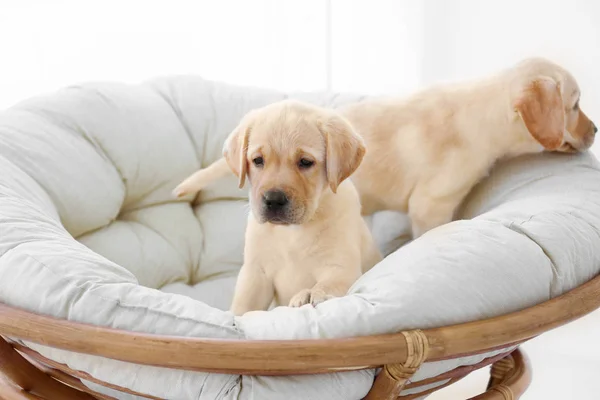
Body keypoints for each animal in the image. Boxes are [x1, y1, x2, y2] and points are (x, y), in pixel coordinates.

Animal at [175, 101, 380, 318]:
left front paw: (308, 294)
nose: (273, 200)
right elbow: (244, 308)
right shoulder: (256, 274)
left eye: (305, 162)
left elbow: (326, 285)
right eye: (258, 160)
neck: (291, 231)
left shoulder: (340, 269)